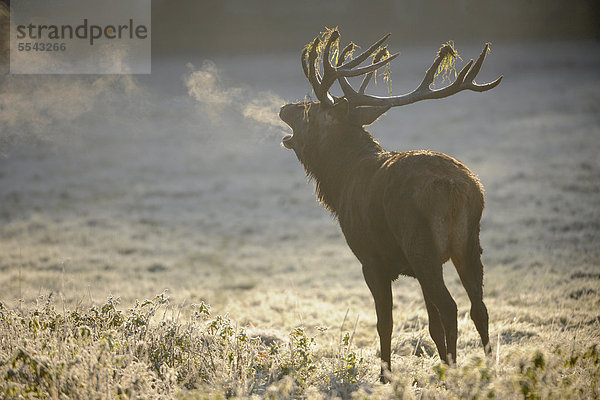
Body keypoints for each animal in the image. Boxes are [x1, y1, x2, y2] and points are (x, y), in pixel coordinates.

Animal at [278, 29, 504, 382]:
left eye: (310, 111)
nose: (284, 107)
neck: (339, 183)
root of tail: (457, 187)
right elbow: (432, 326)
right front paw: (436, 363)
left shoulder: (371, 259)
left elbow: (385, 321)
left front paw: (384, 376)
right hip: (468, 243)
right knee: (478, 307)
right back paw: (488, 371)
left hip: (421, 244)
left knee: (451, 306)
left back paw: (454, 374)